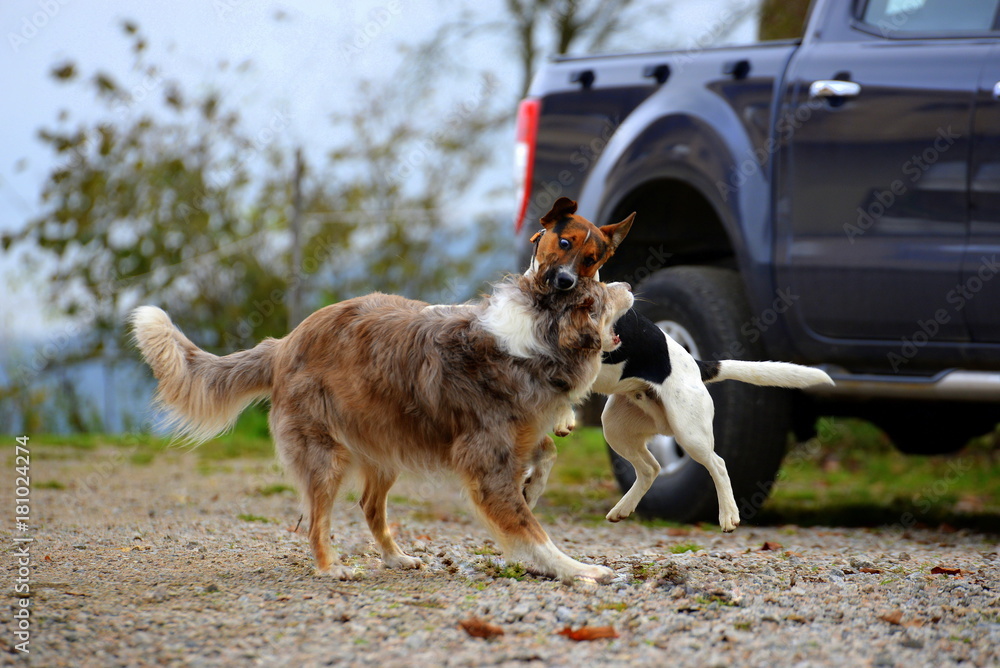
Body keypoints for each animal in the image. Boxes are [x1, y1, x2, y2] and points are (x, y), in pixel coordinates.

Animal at [133, 274, 632, 580]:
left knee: (370, 507)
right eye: (601, 292)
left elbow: (545, 452)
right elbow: (534, 532)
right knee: (317, 519)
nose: (628, 284)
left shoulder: (514, 439)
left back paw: (395, 558)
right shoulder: (486, 467)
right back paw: (331, 567)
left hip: (384, 449)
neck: (533, 343)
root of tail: (282, 343)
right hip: (326, 457)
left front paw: (534, 486)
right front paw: (579, 570)